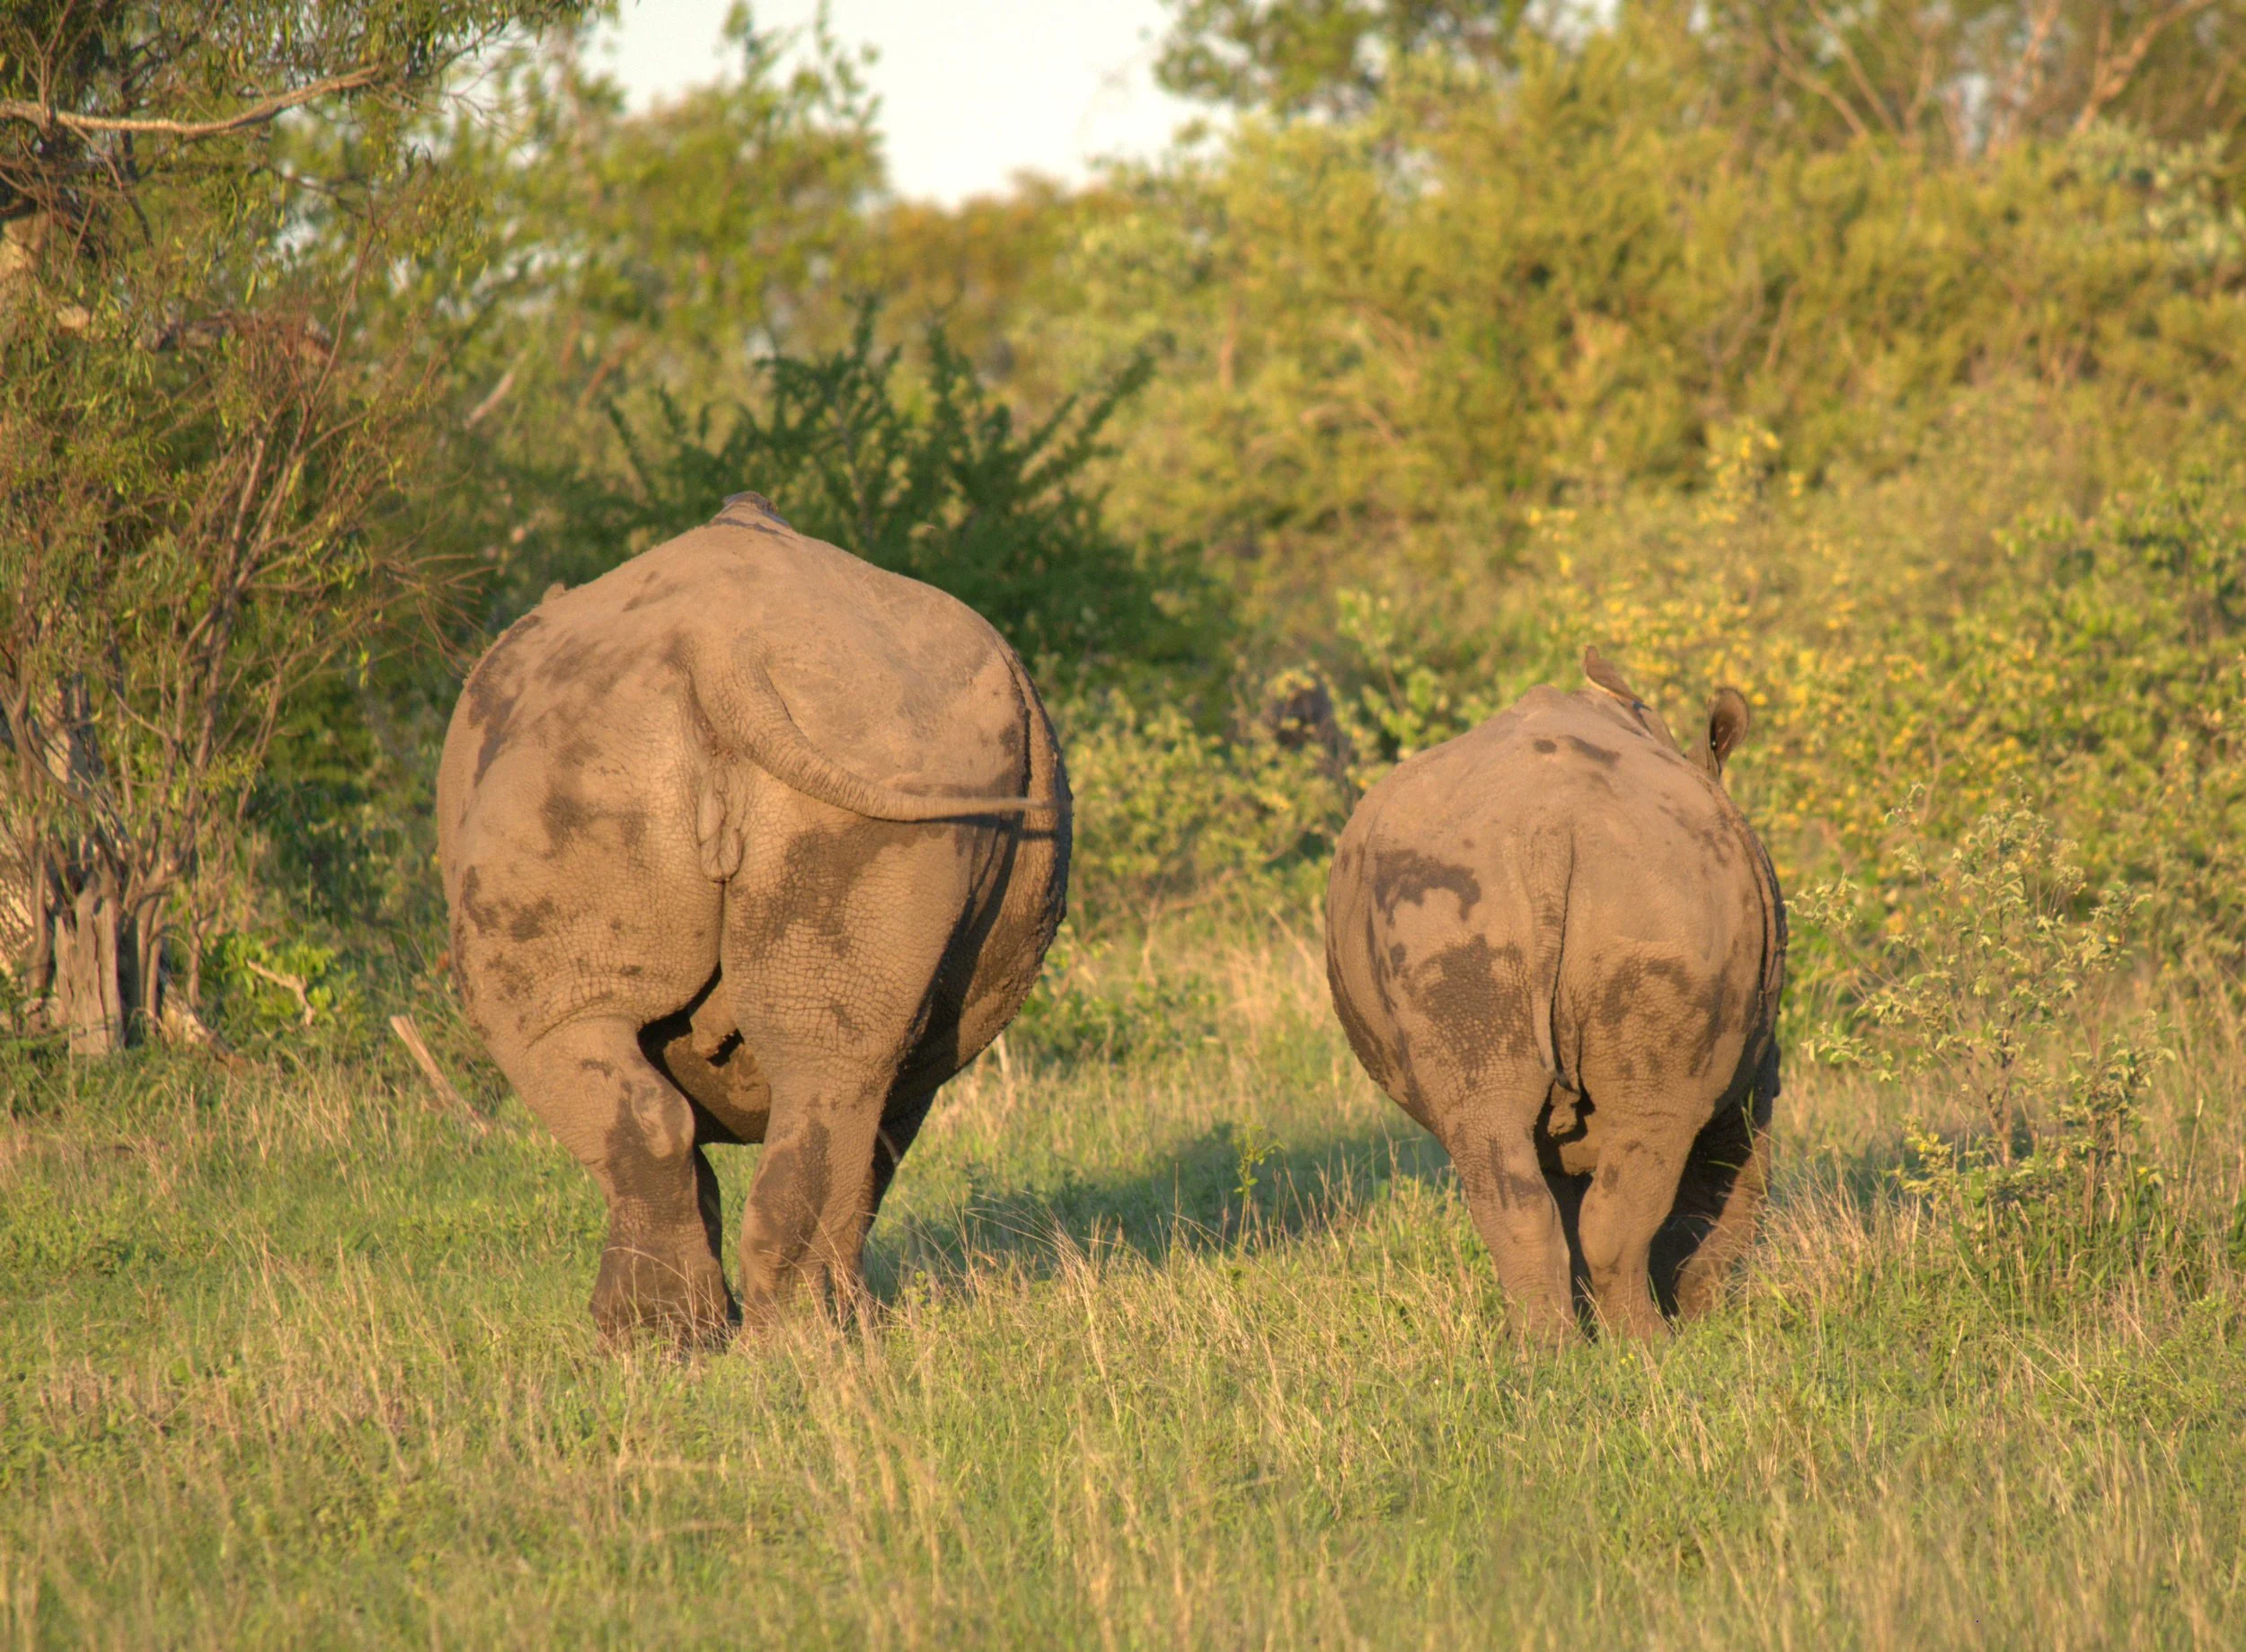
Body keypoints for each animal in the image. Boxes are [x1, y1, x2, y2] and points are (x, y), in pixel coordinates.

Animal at [437, 493, 1068, 1345]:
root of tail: (721, 653)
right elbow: (872, 1146)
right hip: (851, 749)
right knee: (826, 1076)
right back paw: (785, 1336)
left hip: (599, 756)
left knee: (561, 1035)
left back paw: (676, 1339)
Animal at [1324, 649, 1785, 1341]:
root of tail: (1547, 830)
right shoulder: (1752, 1066)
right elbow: (1728, 1182)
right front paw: (1698, 1315)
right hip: (1661, 905)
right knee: (1655, 1126)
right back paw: (1647, 1346)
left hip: (1452, 903)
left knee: (1492, 1141)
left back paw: (1546, 1350)